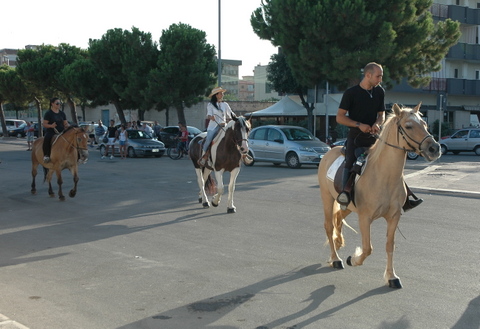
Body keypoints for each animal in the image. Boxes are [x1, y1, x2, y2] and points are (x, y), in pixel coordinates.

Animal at [316, 102, 440, 288]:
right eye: (408, 126)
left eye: (425, 124)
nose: (434, 148)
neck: (384, 176)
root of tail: (330, 151)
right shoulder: (365, 217)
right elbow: (368, 248)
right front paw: (354, 259)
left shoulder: (394, 217)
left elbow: (389, 246)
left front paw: (392, 277)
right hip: (327, 198)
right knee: (329, 226)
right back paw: (335, 259)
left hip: (348, 206)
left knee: (338, 219)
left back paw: (337, 246)